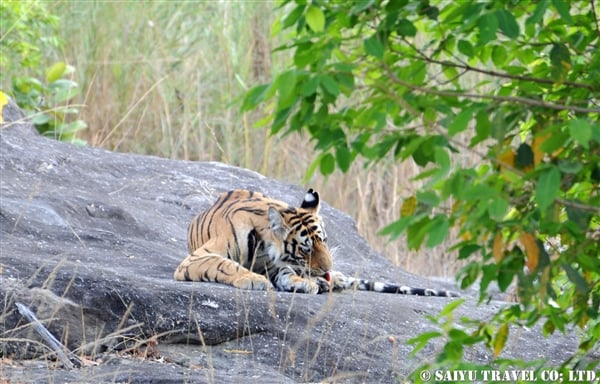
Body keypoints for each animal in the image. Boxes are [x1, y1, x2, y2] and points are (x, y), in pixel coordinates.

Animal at [173, 189, 460, 296]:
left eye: (325, 241)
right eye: (306, 248)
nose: (327, 270)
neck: (264, 246)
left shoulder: (278, 265)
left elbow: (287, 273)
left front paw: (303, 283)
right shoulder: (196, 258)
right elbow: (226, 265)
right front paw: (253, 279)